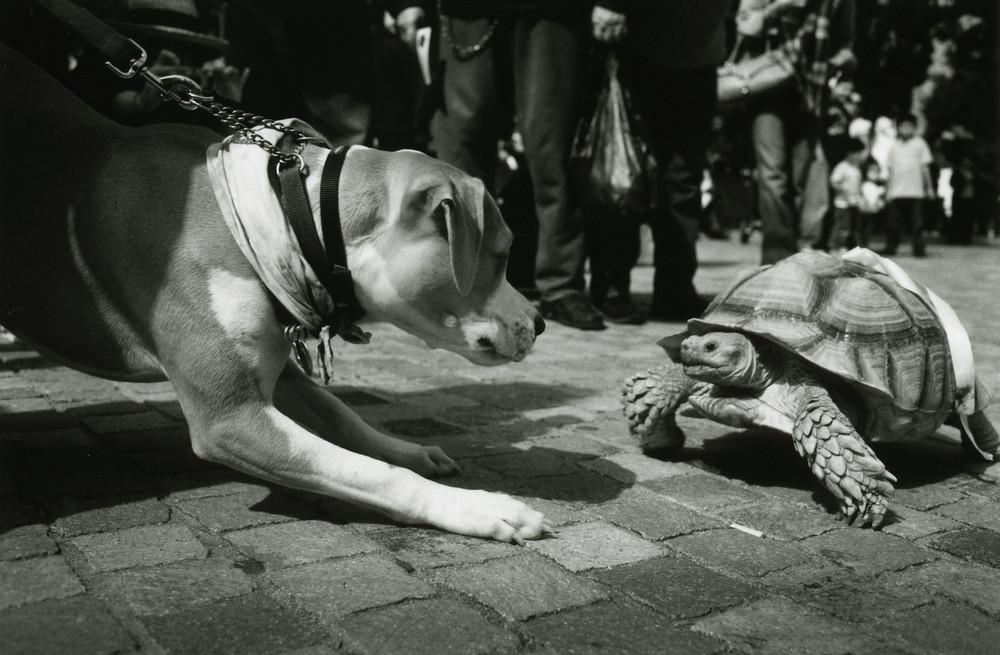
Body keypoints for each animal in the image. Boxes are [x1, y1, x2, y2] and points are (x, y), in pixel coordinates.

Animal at [0, 42, 552, 544]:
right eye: (503, 255)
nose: (542, 322)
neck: (284, 217)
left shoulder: (276, 364)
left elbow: (346, 419)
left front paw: (408, 450)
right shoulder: (228, 418)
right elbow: (371, 472)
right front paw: (477, 508)